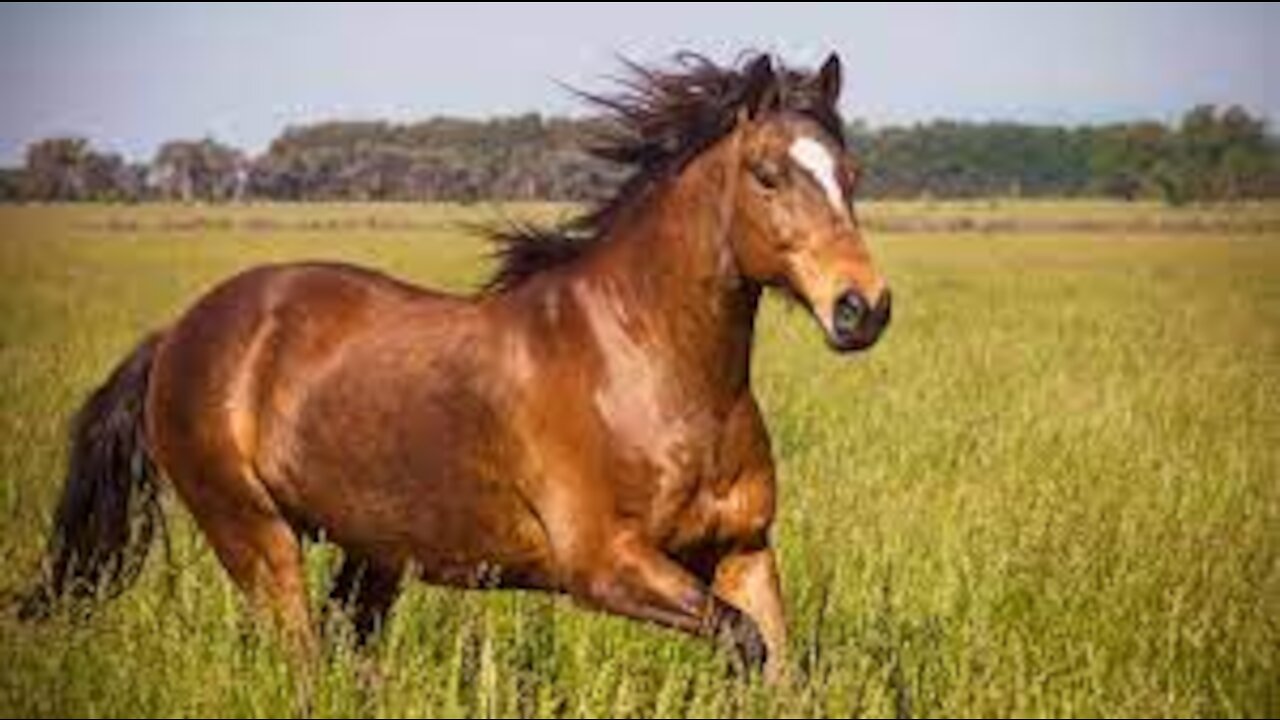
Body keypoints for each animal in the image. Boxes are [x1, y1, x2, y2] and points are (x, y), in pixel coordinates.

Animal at [24, 50, 896, 676]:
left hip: (371, 553)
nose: (864, 308)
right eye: (768, 175)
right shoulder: (606, 567)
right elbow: (742, 642)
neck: (654, 373)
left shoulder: (743, 551)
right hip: (254, 536)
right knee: (302, 662)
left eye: (850, 176)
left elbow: (775, 661)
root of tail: (178, 333)